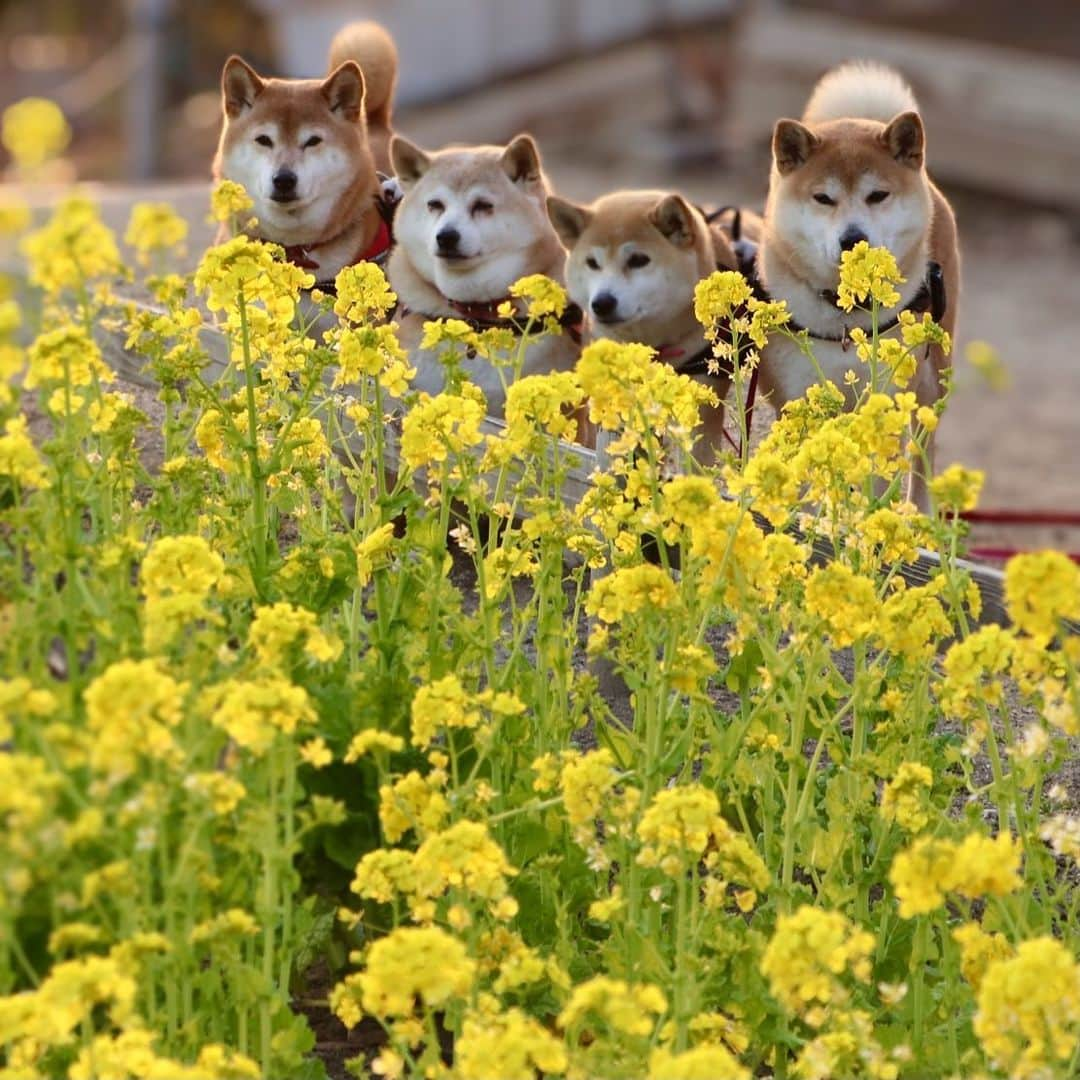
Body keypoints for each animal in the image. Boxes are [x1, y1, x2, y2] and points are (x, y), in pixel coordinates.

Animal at [756, 60, 959, 494]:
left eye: (877, 195)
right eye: (823, 198)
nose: (853, 238)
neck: (845, 317)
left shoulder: (884, 406)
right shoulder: (797, 402)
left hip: (931, 379)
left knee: (923, 454)